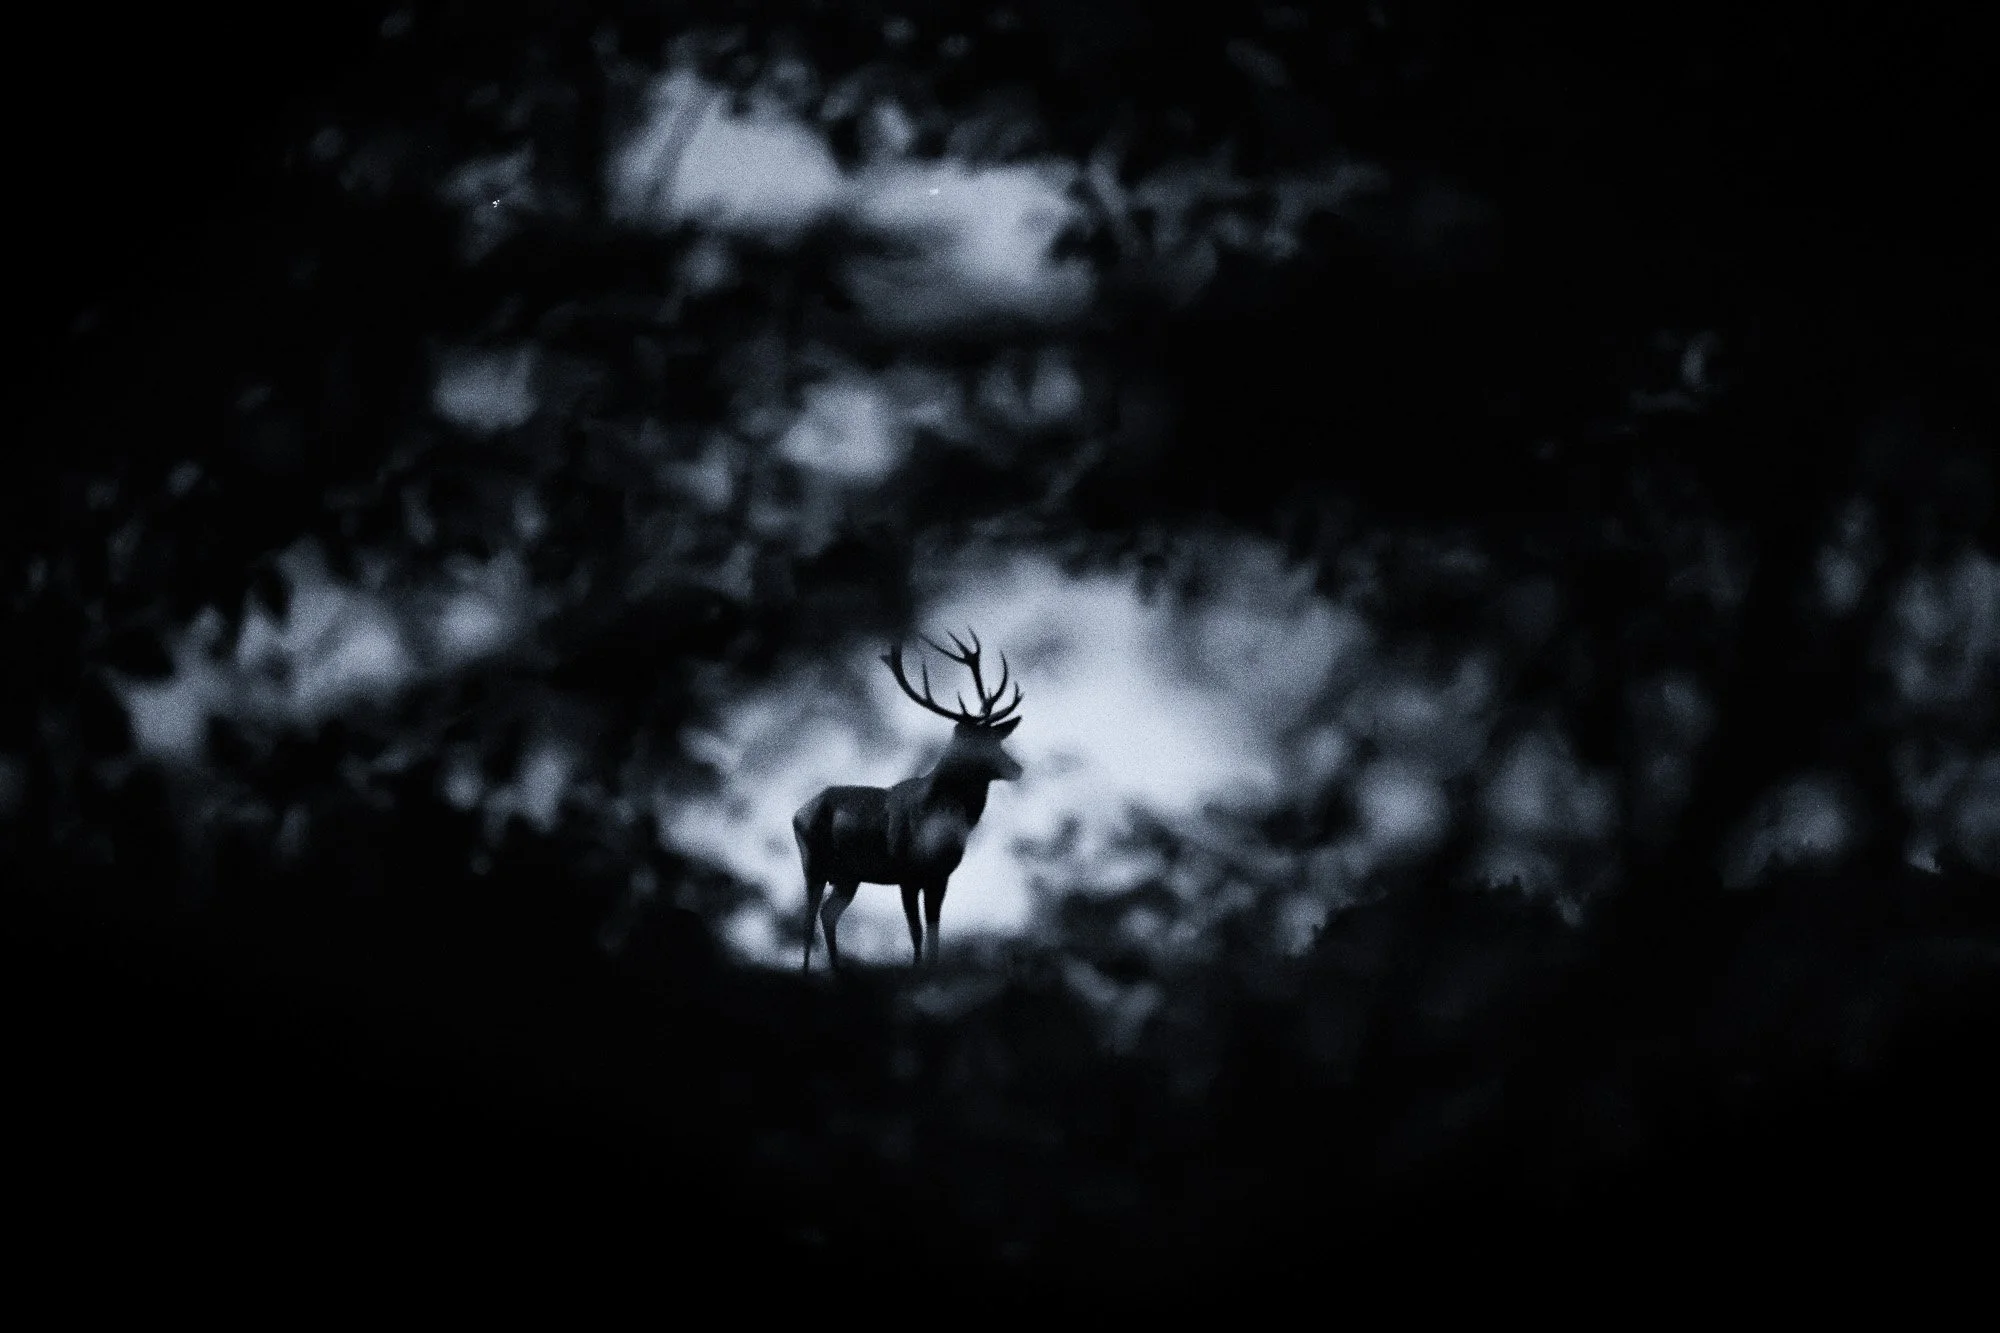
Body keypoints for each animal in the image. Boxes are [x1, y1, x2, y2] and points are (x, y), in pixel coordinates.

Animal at [793, 629, 1025, 974]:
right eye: (978, 744)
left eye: (998, 741)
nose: (1017, 768)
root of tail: (797, 813)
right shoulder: (905, 873)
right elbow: (916, 934)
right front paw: (917, 972)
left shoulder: (940, 876)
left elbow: (934, 933)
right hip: (813, 862)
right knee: (808, 921)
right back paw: (809, 972)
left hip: (848, 877)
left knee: (828, 913)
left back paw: (838, 970)